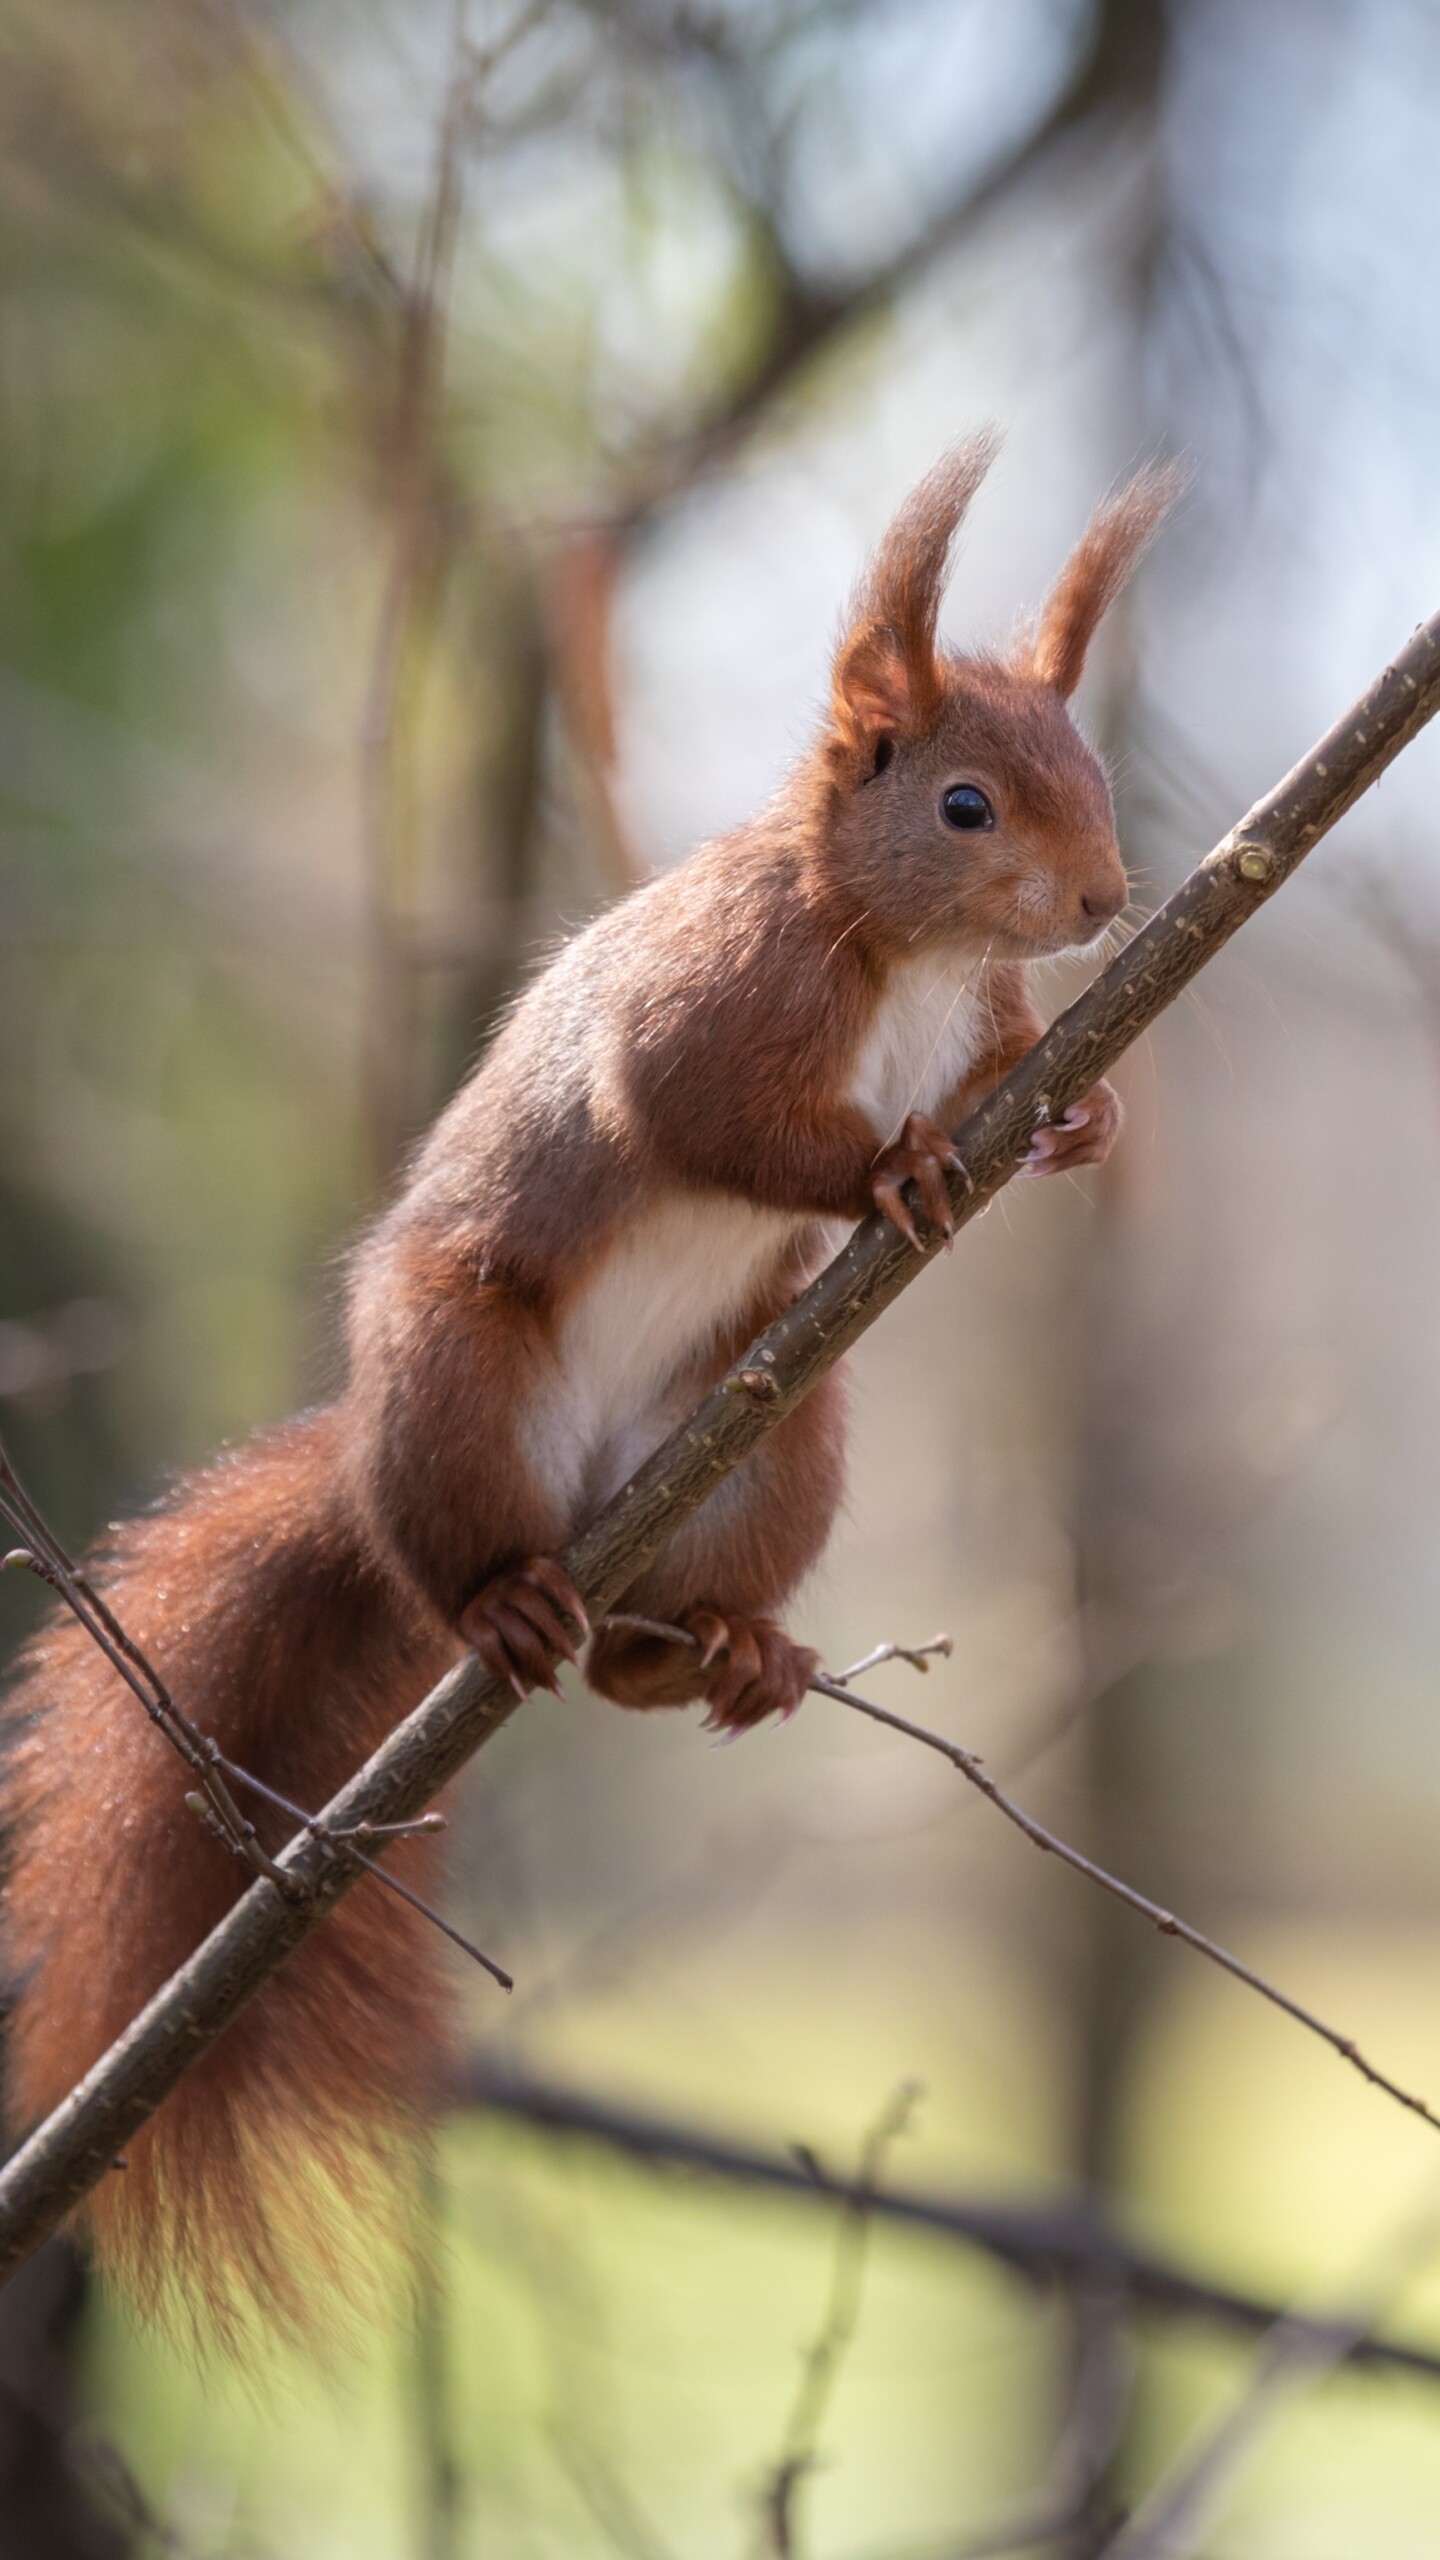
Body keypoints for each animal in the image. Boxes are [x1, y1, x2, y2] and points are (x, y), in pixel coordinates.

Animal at [1, 434, 1173, 2340]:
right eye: (965, 807)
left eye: (1090, 775)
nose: (1103, 908)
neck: (903, 955)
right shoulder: (717, 1004)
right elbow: (708, 1114)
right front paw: (893, 1170)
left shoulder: (987, 1027)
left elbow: (1007, 1078)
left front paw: (1085, 1123)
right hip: (459, 1381)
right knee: (453, 1567)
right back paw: (505, 1606)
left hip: (785, 1445)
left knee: (650, 1653)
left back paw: (720, 1652)